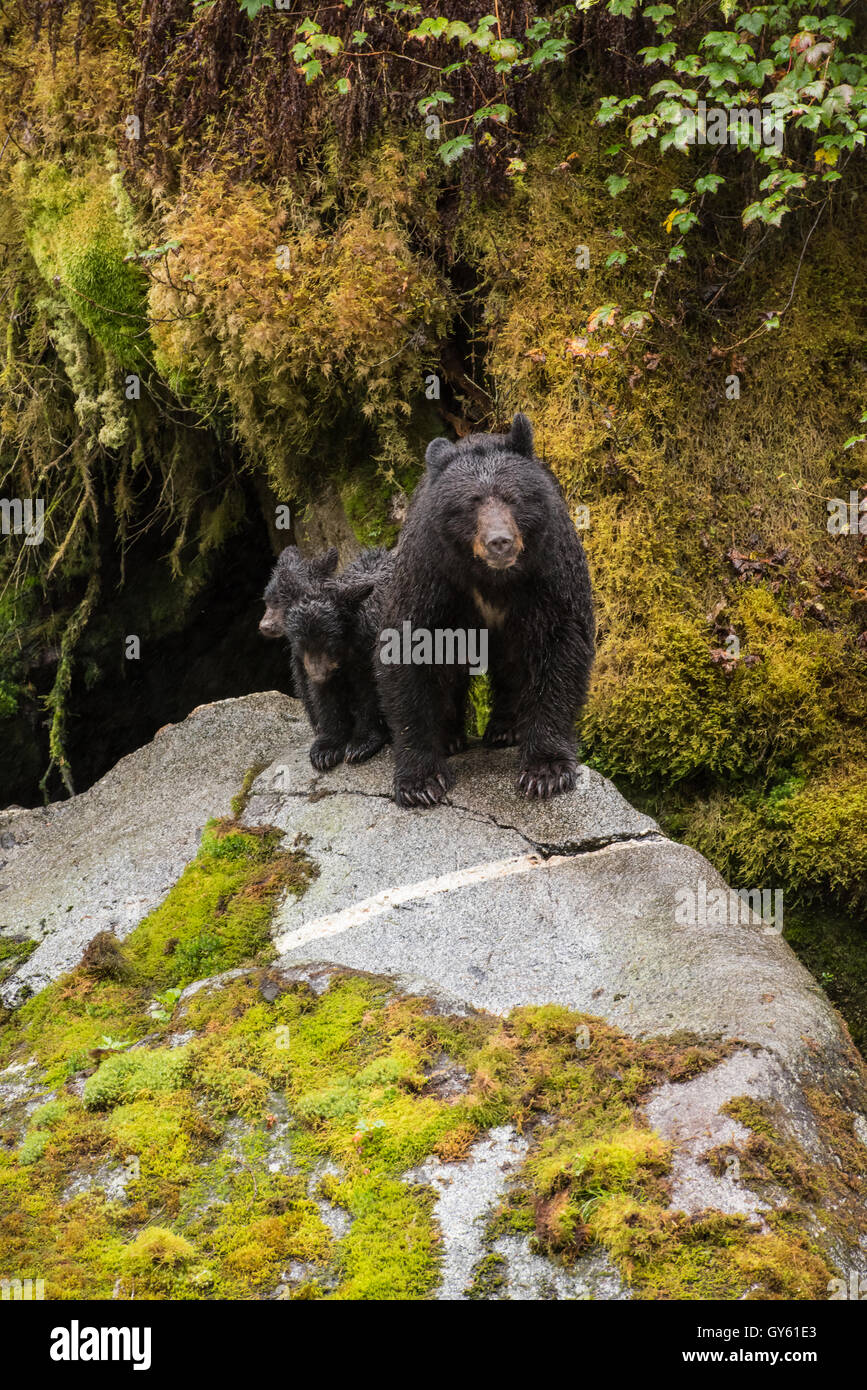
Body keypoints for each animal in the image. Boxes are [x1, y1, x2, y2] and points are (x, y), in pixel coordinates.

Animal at [284, 547, 394, 771]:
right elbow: (325, 698)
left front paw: (360, 745)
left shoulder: (366, 655)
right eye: (301, 642)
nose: (318, 671)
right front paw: (325, 750)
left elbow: (370, 693)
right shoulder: (308, 664)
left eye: (328, 640)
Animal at [376, 413, 595, 808]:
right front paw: (420, 781)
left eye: (513, 498)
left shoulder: (551, 567)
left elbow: (561, 645)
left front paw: (545, 772)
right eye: (471, 503)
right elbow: (407, 646)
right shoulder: (430, 571)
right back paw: (451, 736)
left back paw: (505, 728)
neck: (493, 577)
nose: (500, 542)